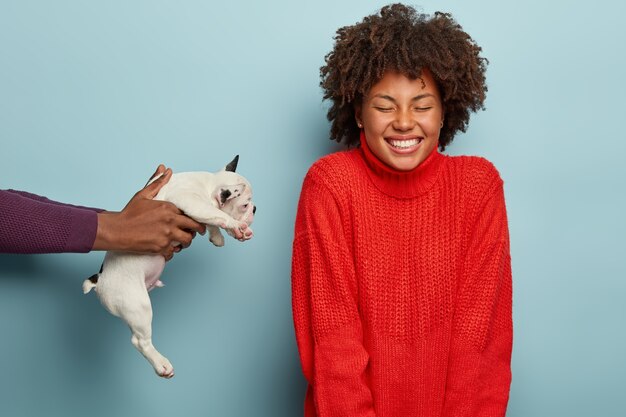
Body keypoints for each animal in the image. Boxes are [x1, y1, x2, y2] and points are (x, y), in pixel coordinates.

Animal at [82, 156, 254, 376]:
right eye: (245, 205)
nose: (255, 210)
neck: (209, 183)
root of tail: (100, 279)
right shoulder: (191, 202)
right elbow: (215, 213)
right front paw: (237, 226)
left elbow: (212, 221)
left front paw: (217, 237)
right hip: (137, 306)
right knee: (140, 341)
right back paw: (161, 364)